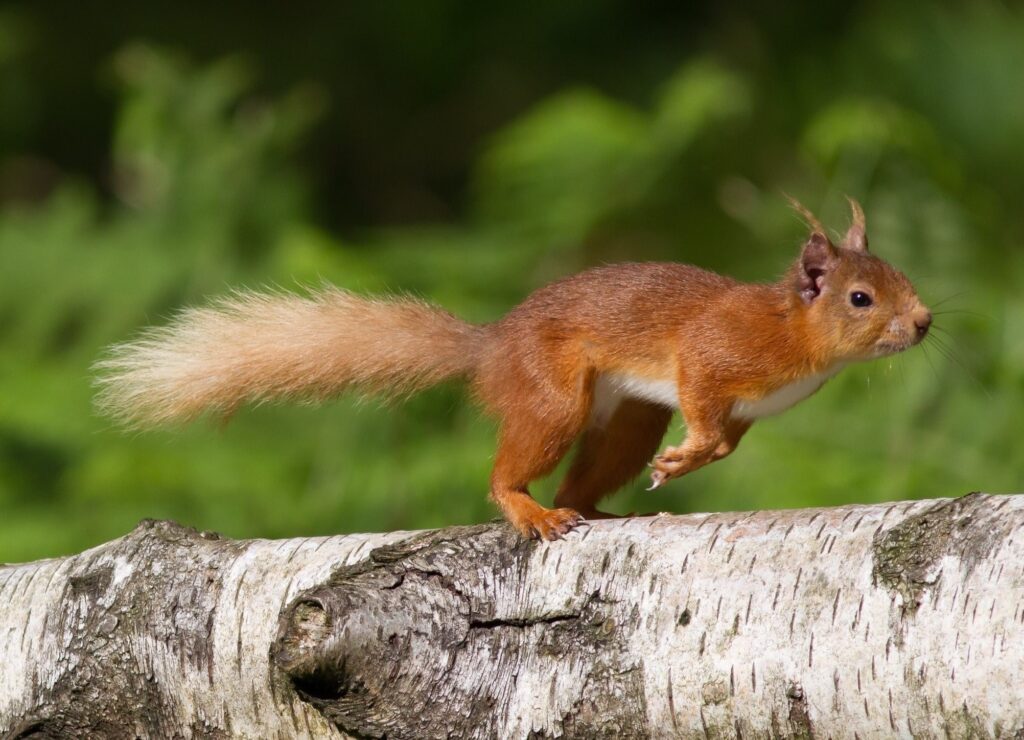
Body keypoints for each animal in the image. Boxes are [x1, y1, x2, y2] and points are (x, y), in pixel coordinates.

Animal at [96, 198, 931, 541]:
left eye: (900, 275)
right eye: (860, 297)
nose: (924, 323)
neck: (796, 341)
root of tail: (493, 345)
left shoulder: (745, 409)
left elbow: (725, 440)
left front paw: (686, 463)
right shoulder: (709, 353)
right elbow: (704, 405)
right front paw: (687, 456)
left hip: (626, 418)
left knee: (583, 480)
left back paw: (600, 510)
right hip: (555, 398)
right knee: (510, 476)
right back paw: (532, 513)